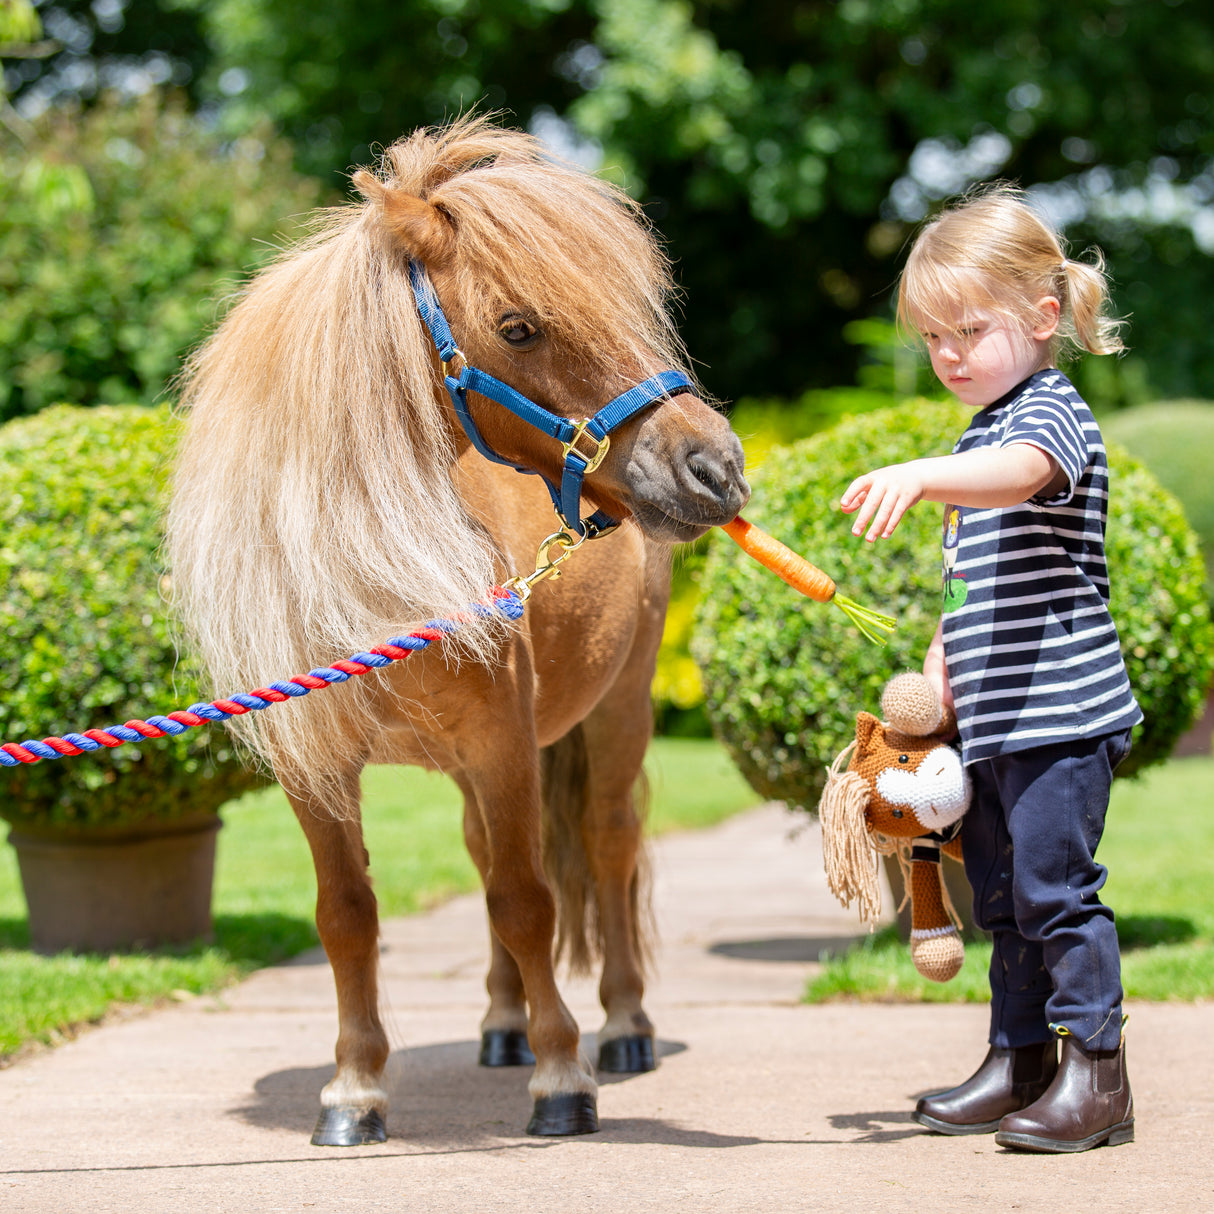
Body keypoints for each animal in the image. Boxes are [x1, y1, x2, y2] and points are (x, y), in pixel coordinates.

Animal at [165, 115, 742, 1146]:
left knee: (606, 846)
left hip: (619, 713)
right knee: (484, 857)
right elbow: (348, 914)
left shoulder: (505, 745)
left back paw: (623, 1028)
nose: (717, 467)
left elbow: (527, 900)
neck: (366, 586)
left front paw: (562, 1079)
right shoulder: (318, 772)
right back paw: (503, 1024)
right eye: (517, 327)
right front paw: (354, 1089)